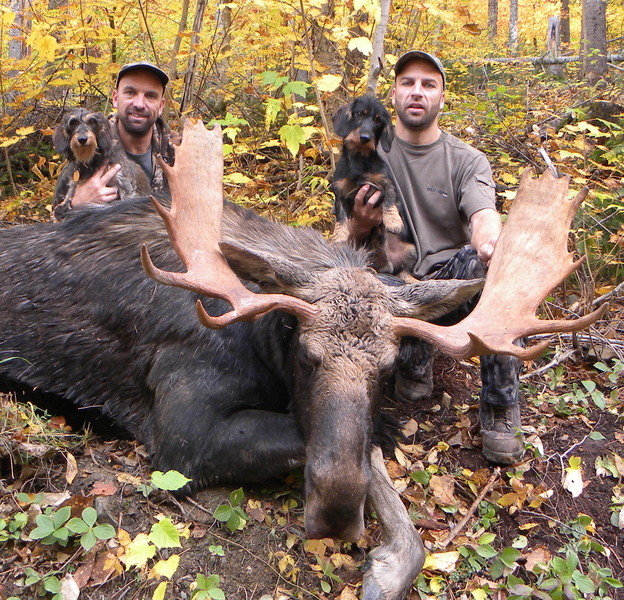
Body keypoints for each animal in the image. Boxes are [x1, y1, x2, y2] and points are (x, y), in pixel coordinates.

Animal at [0, 122, 604, 600]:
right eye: (306, 355)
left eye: (386, 369)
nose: (335, 513)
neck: (257, 334)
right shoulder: (181, 436)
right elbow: (317, 438)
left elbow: (371, 456)